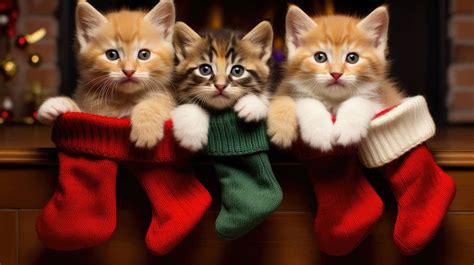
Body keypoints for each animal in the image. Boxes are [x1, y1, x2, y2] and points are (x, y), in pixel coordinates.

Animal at [37, 0, 176, 148]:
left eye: (144, 54)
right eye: (112, 55)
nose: (129, 71)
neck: (124, 99)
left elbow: (154, 104)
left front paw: (146, 129)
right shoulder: (90, 113)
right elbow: (79, 114)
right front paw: (57, 104)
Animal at [266, 5, 404, 151]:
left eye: (352, 58)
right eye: (320, 57)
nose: (336, 74)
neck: (333, 101)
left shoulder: (384, 100)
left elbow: (362, 100)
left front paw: (348, 128)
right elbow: (306, 100)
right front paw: (319, 131)